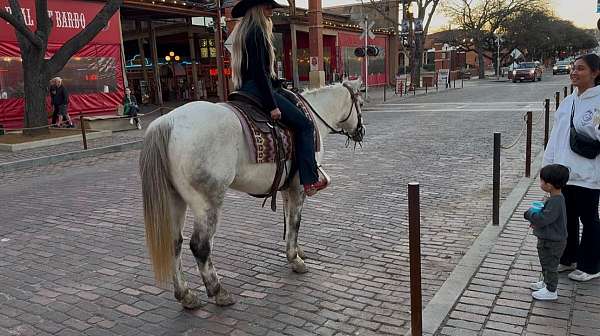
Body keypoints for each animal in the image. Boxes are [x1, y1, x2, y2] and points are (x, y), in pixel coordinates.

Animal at [140, 79, 364, 310]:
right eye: (361, 104)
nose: (361, 131)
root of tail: (168, 121)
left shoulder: (287, 188)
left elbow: (289, 220)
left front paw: (296, 250)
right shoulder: (299, 188)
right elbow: (295, 222)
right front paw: (295, 259)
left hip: (174, 200)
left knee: (175, 243)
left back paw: (185, 294)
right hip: (207, 203)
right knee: (200, 246)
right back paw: (218, 291)